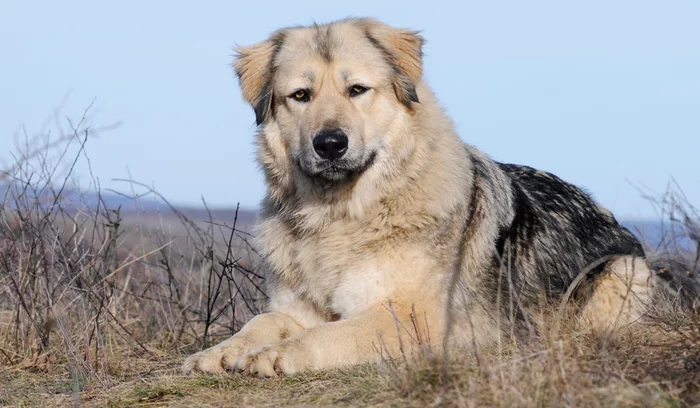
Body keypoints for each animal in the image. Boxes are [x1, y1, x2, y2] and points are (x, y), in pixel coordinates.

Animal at [180, 17, 656, 378]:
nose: (329, 144)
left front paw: (276, 354)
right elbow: (264, 320)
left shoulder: (411, 318)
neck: (338, 217)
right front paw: (220, 351)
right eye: (301, 96)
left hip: (627, 271)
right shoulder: (296, 308)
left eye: (357, 90)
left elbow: (329, 333)